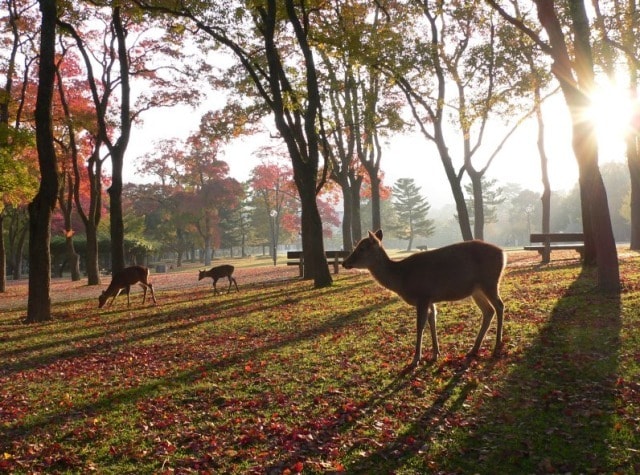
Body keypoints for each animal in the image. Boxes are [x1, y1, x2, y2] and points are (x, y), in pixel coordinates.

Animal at [342, 231, 508, 368]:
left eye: (362, 248)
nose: (344, 262)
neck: (401, 278)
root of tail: (503, 254)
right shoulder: (430, 299)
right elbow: (432, 320)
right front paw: (436, 353)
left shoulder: (422, 295)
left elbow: (420, 325)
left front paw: (415, 359)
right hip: (477, 290)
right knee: (489, 311)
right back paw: (474, 349)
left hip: (490, 281)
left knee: (500, 305)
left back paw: (497, 345)